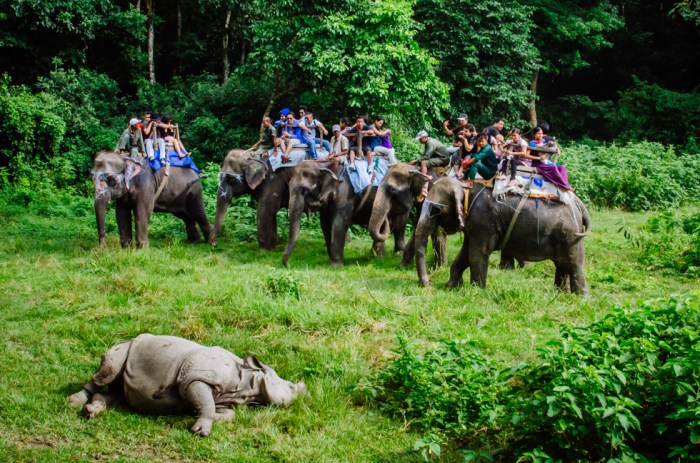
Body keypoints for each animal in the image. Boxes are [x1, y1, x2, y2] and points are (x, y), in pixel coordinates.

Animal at [67, 334, 306, 437]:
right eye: (291, 387)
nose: (304, 391)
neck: (249, 384)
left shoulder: (225, 398)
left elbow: (225, 413)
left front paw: (197, 414)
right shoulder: (193, 378)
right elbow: (206, 402)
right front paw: (201, 430)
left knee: (117, 392)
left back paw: (92, 410)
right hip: (126, 345)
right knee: (109, 370)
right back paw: (73, 403)